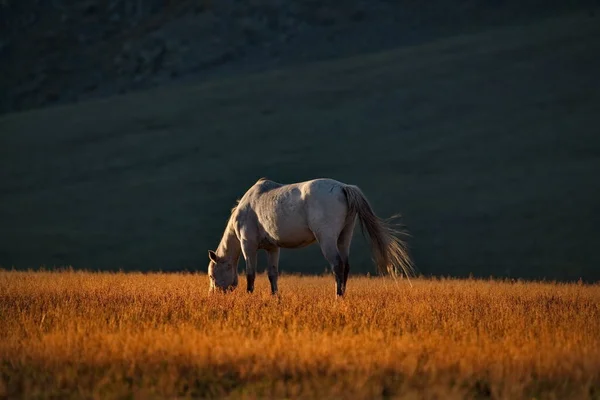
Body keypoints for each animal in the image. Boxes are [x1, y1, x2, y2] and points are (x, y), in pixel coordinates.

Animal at [206, 178, 412, 296]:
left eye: (211, 275)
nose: (213, 294)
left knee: (337, 265)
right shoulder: (273, 248)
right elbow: (272, 275)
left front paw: (249, 296)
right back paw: (343, 294)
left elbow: (251, 274)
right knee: (345, 266)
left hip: (327, 240)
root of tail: (343, 187)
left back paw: (337, 296)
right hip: (344, 238)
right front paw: (275, 297)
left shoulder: (248, 245)